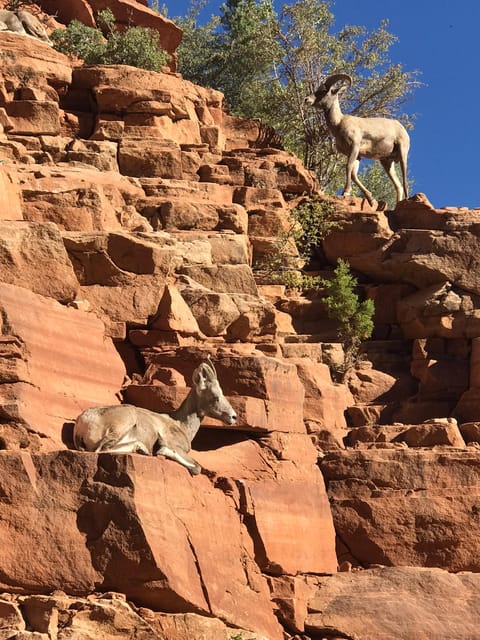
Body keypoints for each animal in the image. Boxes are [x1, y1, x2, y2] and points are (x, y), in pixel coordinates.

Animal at [74, 360, 237, 476]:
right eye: (215, 396)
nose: (233, 417)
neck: (180, 424)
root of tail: (81, 423)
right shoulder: (174, 445)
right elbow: (197, 467)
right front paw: (162, 451)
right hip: (124, 423)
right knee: (100, 450)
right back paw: (140, 448)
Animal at [306, 74, 410, 206]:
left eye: (324, 91)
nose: (307, 99)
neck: (338, 123)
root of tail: (402, 128)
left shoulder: (354, 147)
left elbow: (348, 168)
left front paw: (346, 192)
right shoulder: (358, 155)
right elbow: (354, 175)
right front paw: (371, 200)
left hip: (402, 153)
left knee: (405, 181)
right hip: (386, 162)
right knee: (398, 186)